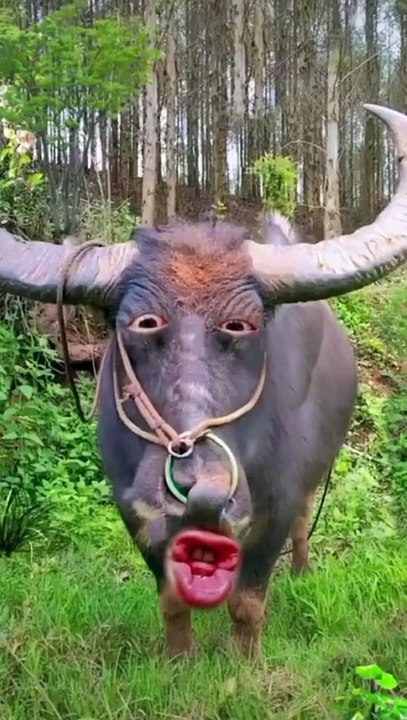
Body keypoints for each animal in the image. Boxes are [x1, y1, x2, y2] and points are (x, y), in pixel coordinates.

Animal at [0, 104, 406, 659]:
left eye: (241, 326)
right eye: (142, 323)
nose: (201, 490)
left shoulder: (274, 505)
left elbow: (249, 599)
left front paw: (245, 661)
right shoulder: (136, 510)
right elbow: (172, 598)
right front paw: (179, 658)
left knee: (305, 522)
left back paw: (302, 572)